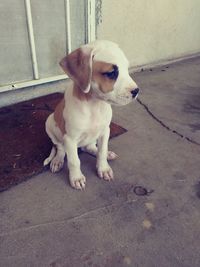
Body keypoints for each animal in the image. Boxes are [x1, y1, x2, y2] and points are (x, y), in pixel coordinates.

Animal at [43, 39, 139, 191]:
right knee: (60, 147)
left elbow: (101, 151)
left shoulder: (105, 131)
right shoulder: (70, 139)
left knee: (89, 147)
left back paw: (106, 153)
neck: (94, 105)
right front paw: (76, 178)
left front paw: (103, 168)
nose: (136, 91)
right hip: (50, 122)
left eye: (126, 68)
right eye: (111, 73)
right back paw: (57, 160)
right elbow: (74, 161)